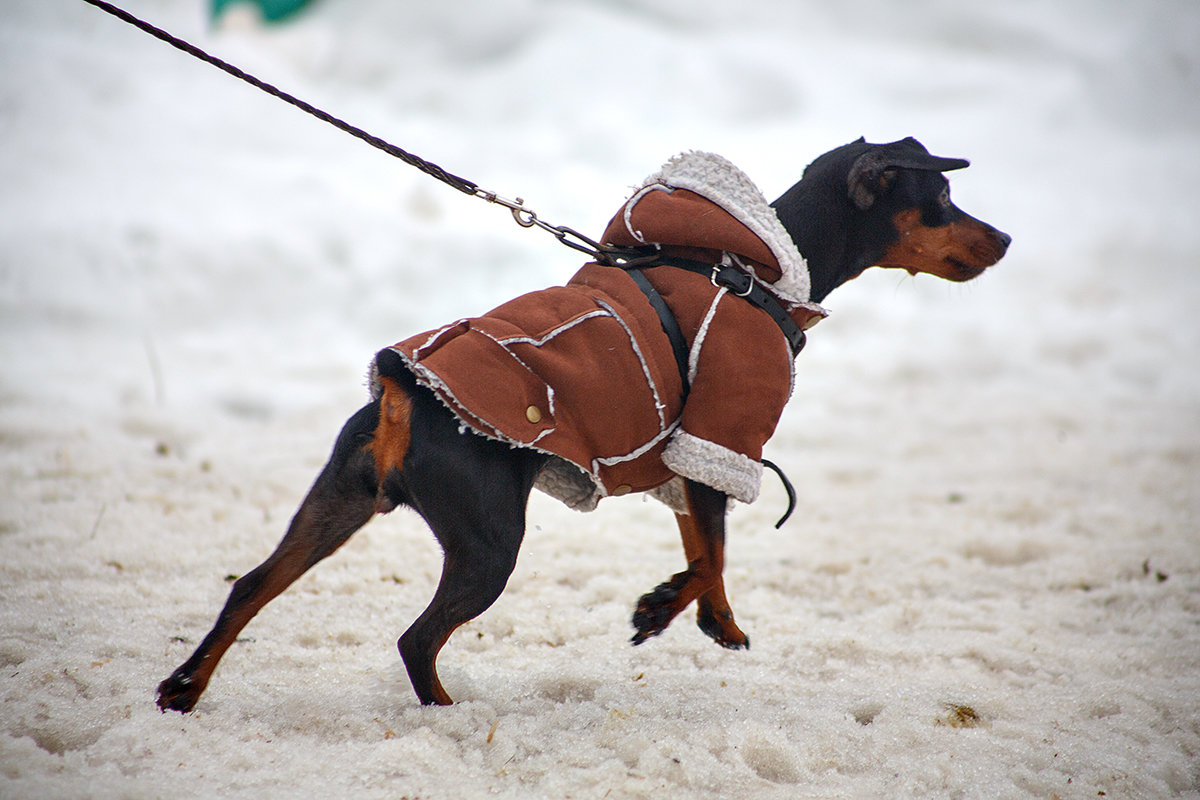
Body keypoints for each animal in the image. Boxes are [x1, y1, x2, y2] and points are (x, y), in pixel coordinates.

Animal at [154, 134, 1008, 710]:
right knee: (415, 638)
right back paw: (446, 712)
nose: (1003, 237)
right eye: (941, 200)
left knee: (250, 587)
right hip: (489, 541)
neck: (755, 272)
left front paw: (716, 623)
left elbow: (703, 544)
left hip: (340, 499)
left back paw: (184, 687)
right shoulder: (722, 429)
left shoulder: (689, 458)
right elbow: (712, 553)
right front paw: (661, 609)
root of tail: (404, 388)